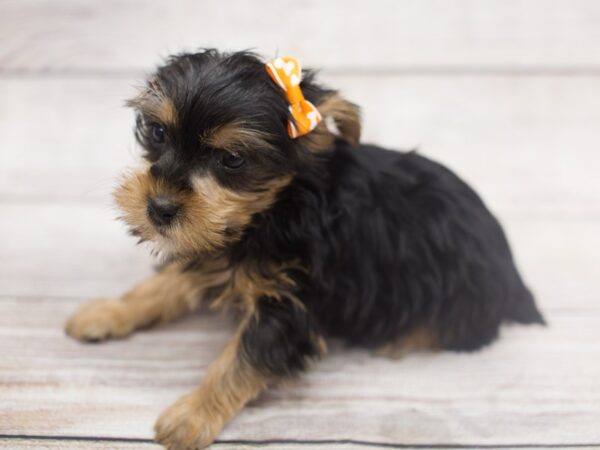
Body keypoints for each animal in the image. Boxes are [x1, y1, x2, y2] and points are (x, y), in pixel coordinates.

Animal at [64, 49, 544, 450]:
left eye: (232, 159)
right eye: (159, 133)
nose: (158, 208)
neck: (273, 208)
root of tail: (512, 274)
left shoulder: (290, 303)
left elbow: (239, 361)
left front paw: (192, 416)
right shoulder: (210, 247)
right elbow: (162, 287)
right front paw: (107, 312)